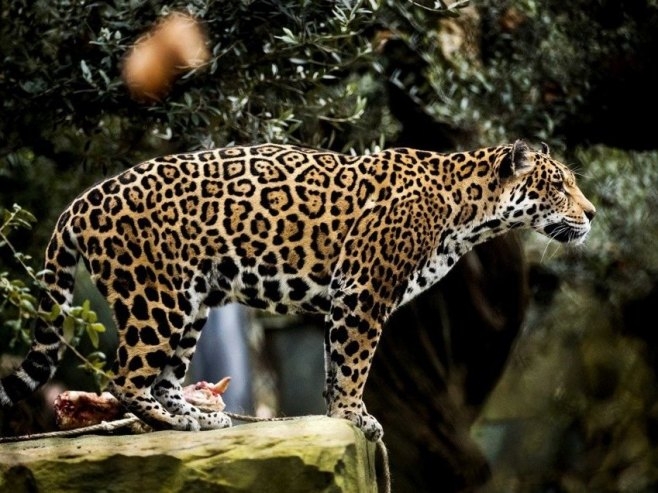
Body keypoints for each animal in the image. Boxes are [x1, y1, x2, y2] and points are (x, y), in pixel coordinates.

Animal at [0, 139, 595, 441]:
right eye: (559, 185)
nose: (590, 214)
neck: (473, 211)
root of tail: (80, 202)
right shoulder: (364, 291)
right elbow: (354, 364)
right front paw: (355, 417)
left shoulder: (346, 299)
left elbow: (336, 364)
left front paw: (339, 415)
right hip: (155, 296)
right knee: (125, 377)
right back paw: (178, 420)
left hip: (192, 300)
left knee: (164, 375)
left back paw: (199, 415)